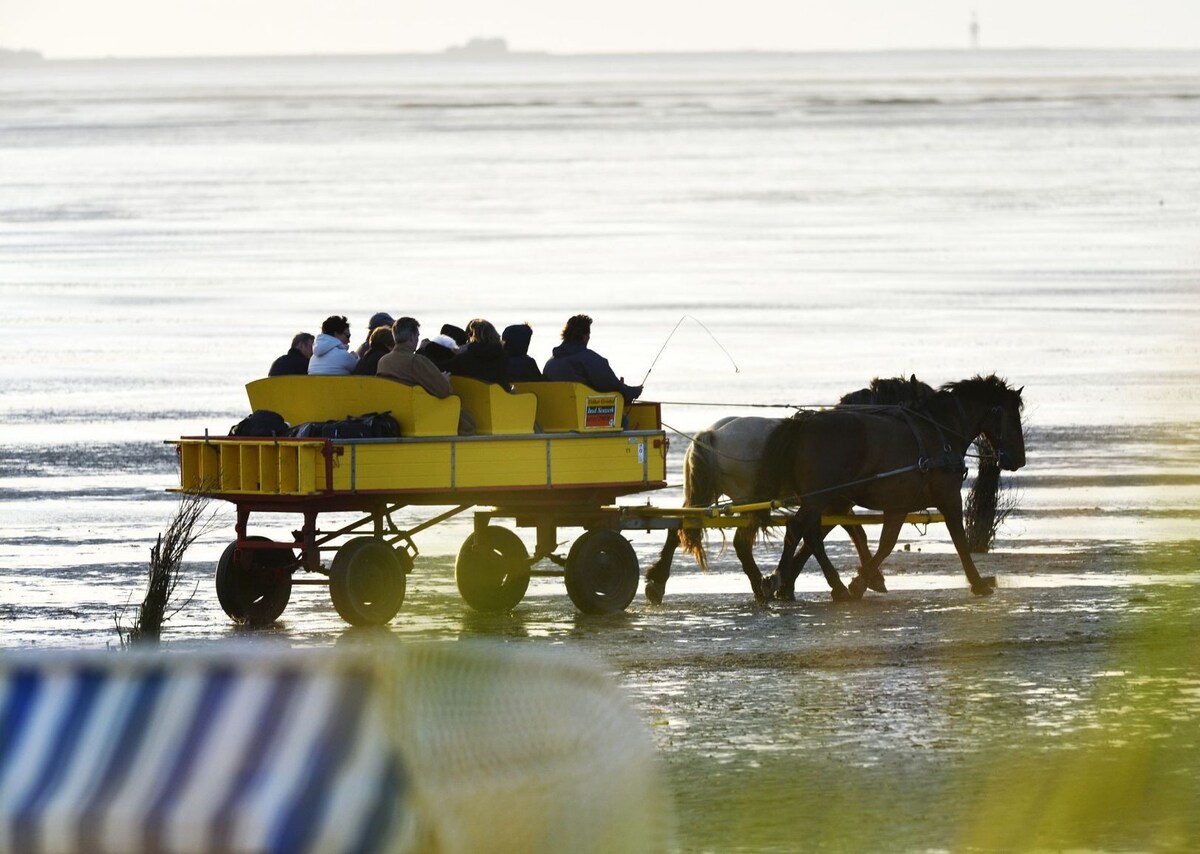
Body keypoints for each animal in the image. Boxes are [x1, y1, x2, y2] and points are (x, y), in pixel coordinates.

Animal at [648, 374, 936, 606]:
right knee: (739, 541)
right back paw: (760, 585)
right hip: (748, 499)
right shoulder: (831, 502)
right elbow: (846, 535)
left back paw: (659, 582)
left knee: (680, 527)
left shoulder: (829, 503)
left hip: (708, 495)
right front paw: (866, 579)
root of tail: (711, 434)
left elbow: (838, 535)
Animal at [758, 374, 1022, 599]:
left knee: (811, 535)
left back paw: (820, 584)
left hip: (821, 499)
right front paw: (978, 583)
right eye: (1012, 416)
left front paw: (862, 581)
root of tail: (806, 423)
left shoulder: (896, 505)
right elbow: (959, 541)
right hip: (818, 499)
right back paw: (784, 579)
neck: (938, 434)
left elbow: (885, 543)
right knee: (797, 528)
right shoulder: (949, 498)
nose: (1019, 459)